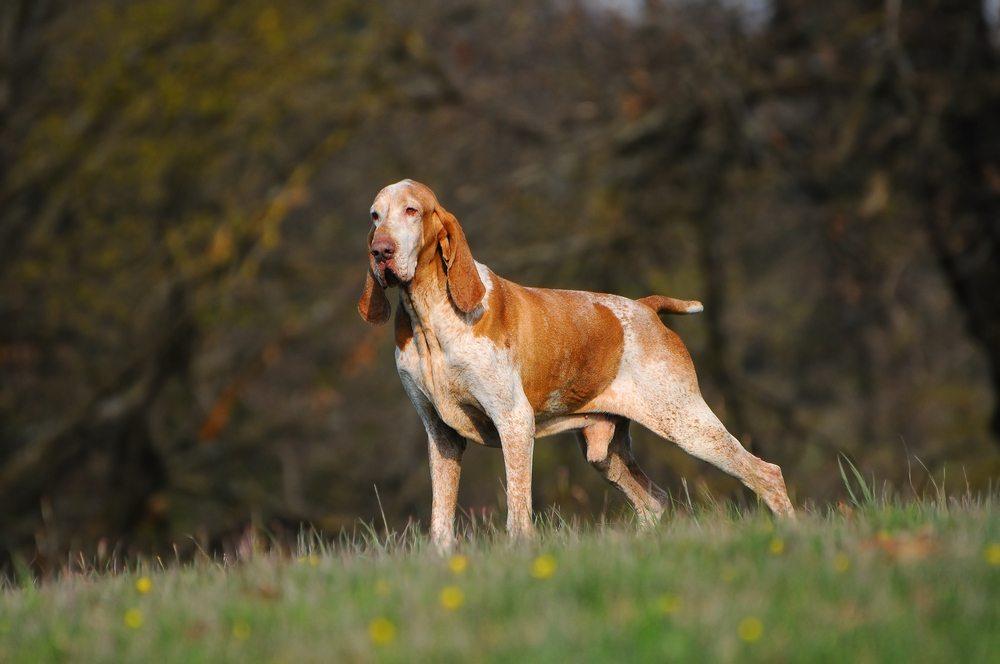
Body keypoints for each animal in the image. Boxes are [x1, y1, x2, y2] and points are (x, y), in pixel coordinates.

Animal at [356, 179, 792, 548]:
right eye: (375, 215)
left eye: (412, 210)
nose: (381, 251)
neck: (428, 317)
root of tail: (645, 308)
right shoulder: (441, 435)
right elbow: (441, 521)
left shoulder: (514, 420)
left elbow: (518, 510)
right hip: (605, 453)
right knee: (654, 501)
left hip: (687, 424)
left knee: (766, 473)